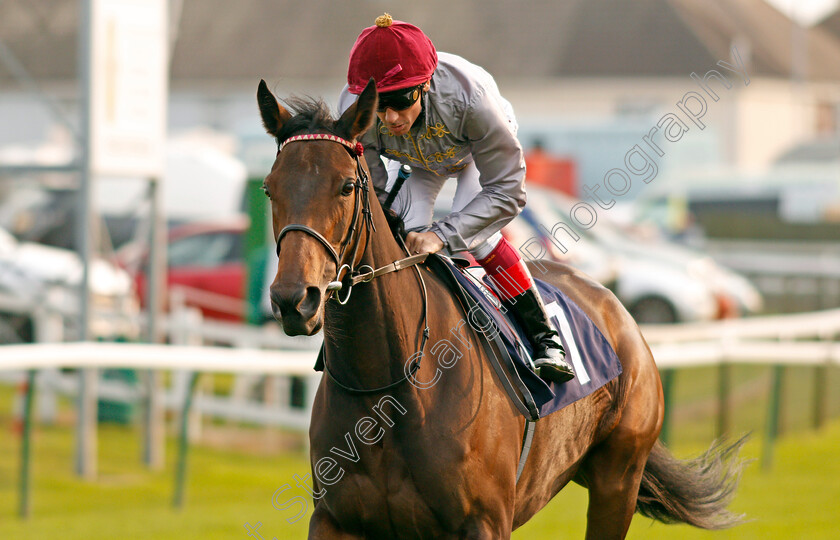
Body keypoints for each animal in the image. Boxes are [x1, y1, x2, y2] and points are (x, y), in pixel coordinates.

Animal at [256, 78, 740, 536]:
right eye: (269, 189)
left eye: (346, 186)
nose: (294, 299)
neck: (389, 385)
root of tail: (614, 304)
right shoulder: (335, 520)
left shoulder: (484, 521)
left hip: (617, 480)